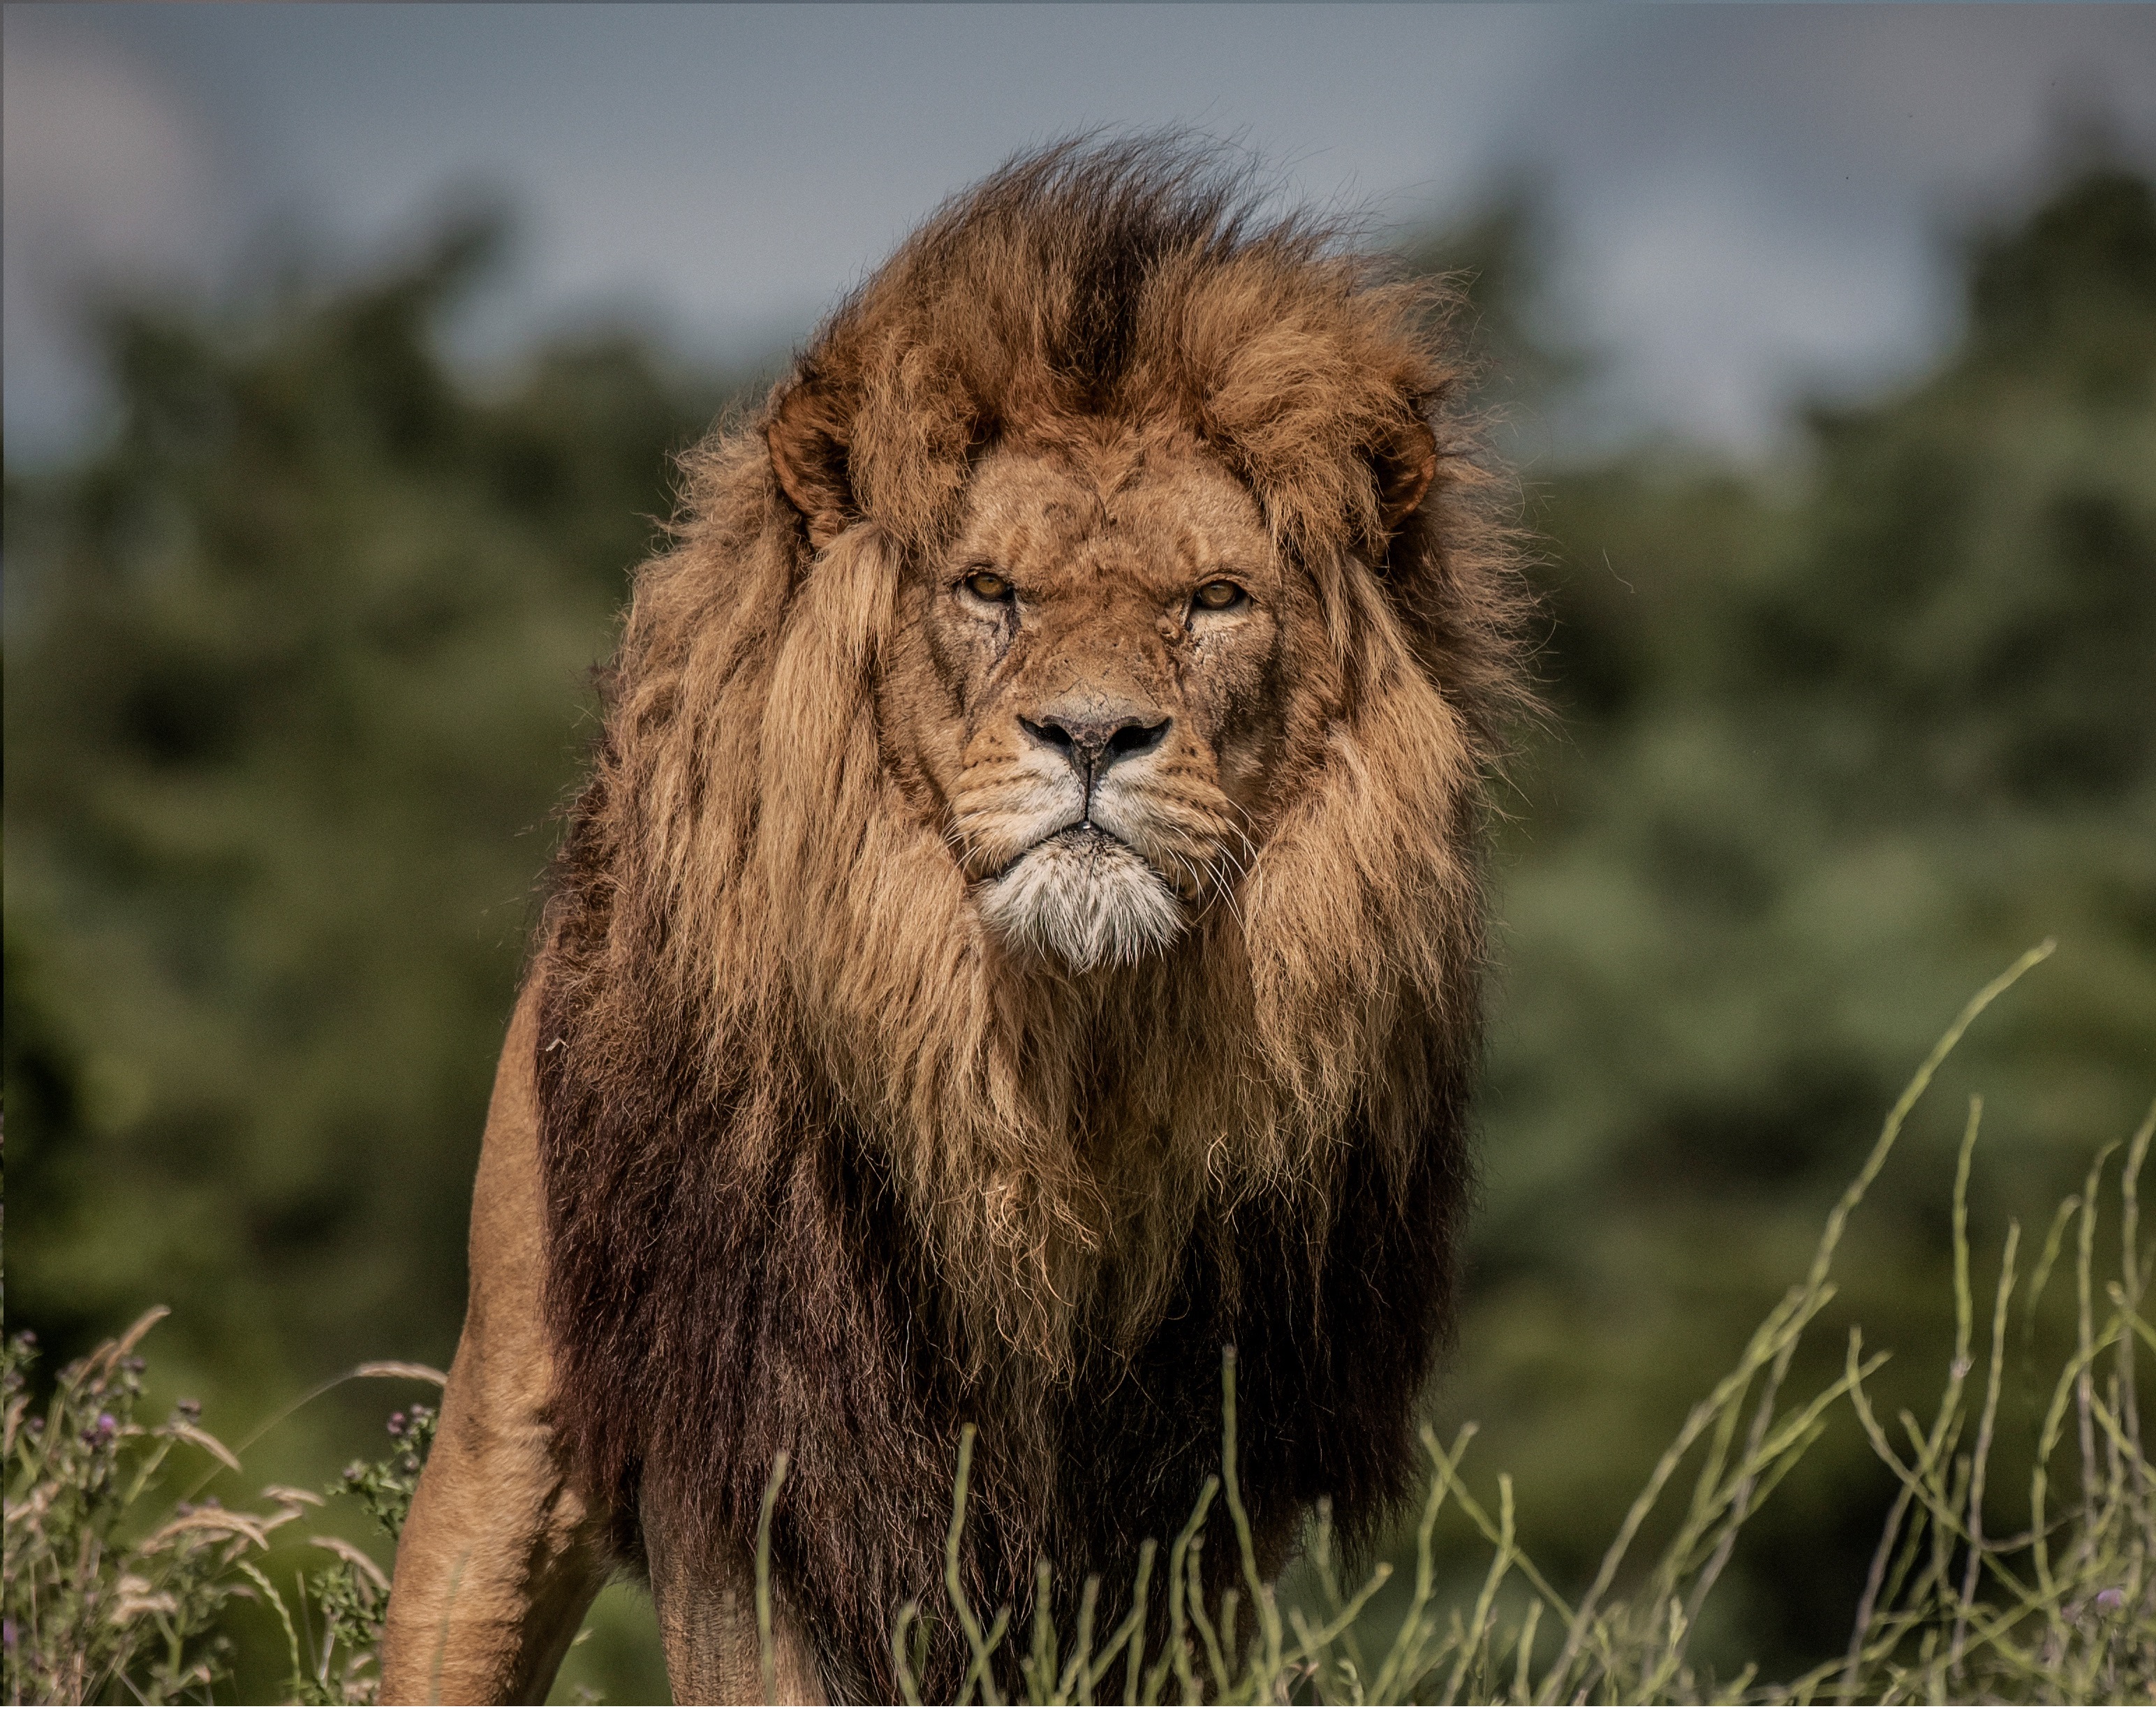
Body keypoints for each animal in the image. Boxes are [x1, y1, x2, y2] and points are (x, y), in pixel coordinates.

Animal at [380, 139, 1525, 1704]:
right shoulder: (766, 1451)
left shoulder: (1190, 1504)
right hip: (509, 1416)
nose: (1093, 732)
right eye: (990, 590)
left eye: (1214, 598)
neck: (1058, 1063)